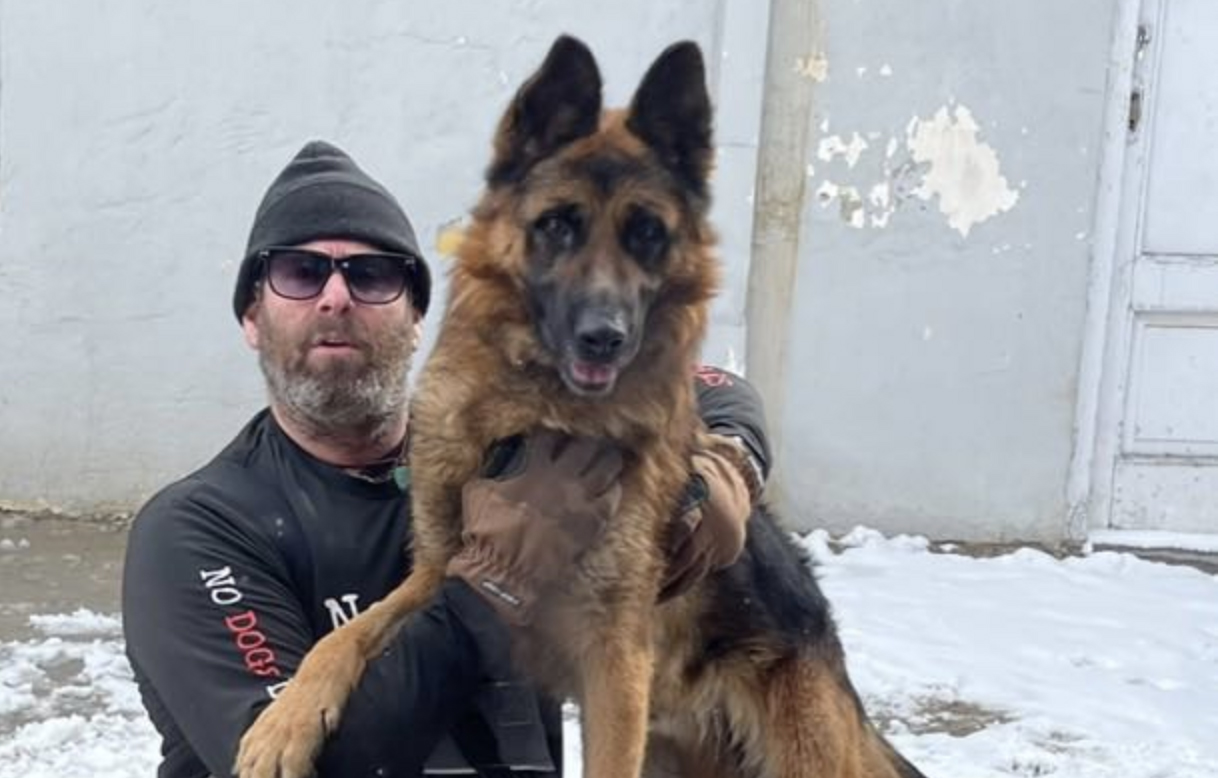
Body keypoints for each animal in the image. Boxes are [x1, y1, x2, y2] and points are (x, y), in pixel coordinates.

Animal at [235, 35, 920, 778]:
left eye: (647, 232)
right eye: (558, 225)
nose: (605, 335)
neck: (537, 420)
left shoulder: (614, 657)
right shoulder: (444, 572)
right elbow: (347, 635)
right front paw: (284, 721)